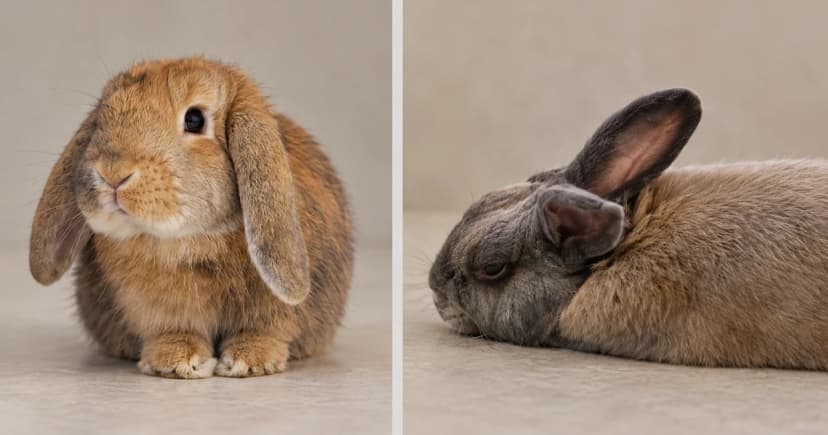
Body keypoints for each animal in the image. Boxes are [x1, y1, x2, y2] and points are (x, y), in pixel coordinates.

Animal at [29, 57, 353, 378]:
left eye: (194, 119)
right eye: (101, 121)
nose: (112, 173)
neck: (189, 238)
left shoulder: (274, 309)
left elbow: (267, 329)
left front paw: (249, 360)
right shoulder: (155, 309)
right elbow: (171, 329)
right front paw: (176, 360)